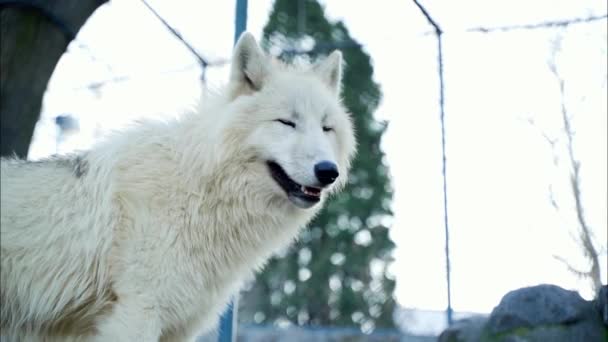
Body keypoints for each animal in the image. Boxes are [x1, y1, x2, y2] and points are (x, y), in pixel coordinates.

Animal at [0, 32, 356, 342]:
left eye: (326, 128)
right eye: (286, 122)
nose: (329, 171)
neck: (200, 189)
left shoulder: (178, 327)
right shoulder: (138, 313)